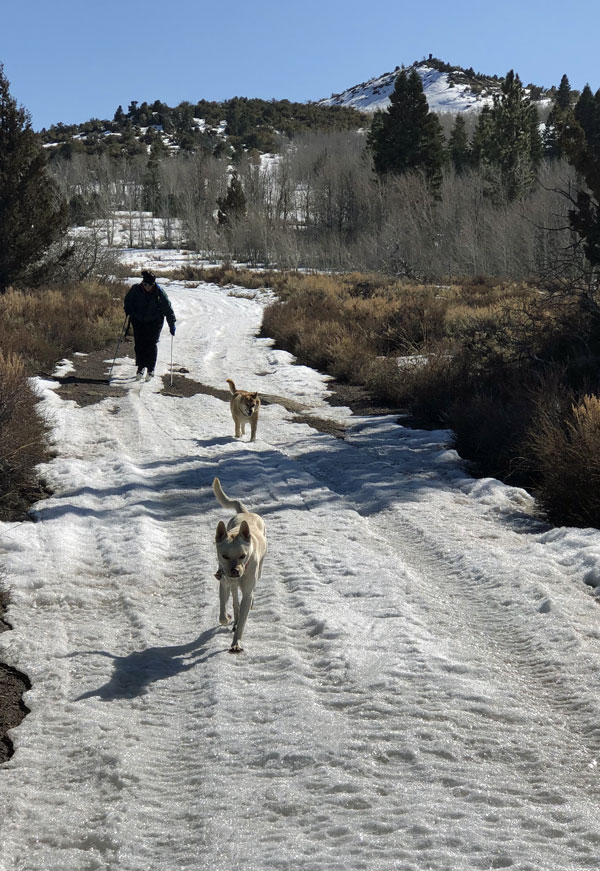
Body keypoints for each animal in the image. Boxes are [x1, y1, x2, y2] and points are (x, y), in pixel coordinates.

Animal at [212, 476, 266, 656]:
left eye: (243, 555)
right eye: (224, 556)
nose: (235, 571)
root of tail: (246, 512)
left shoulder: (247, 590)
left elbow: (243, 619)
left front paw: (236, 644)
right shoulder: (223, 583)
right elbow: (223, 613)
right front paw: (228, 618)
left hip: (259, 570)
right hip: (231, 583)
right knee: (235, 599)